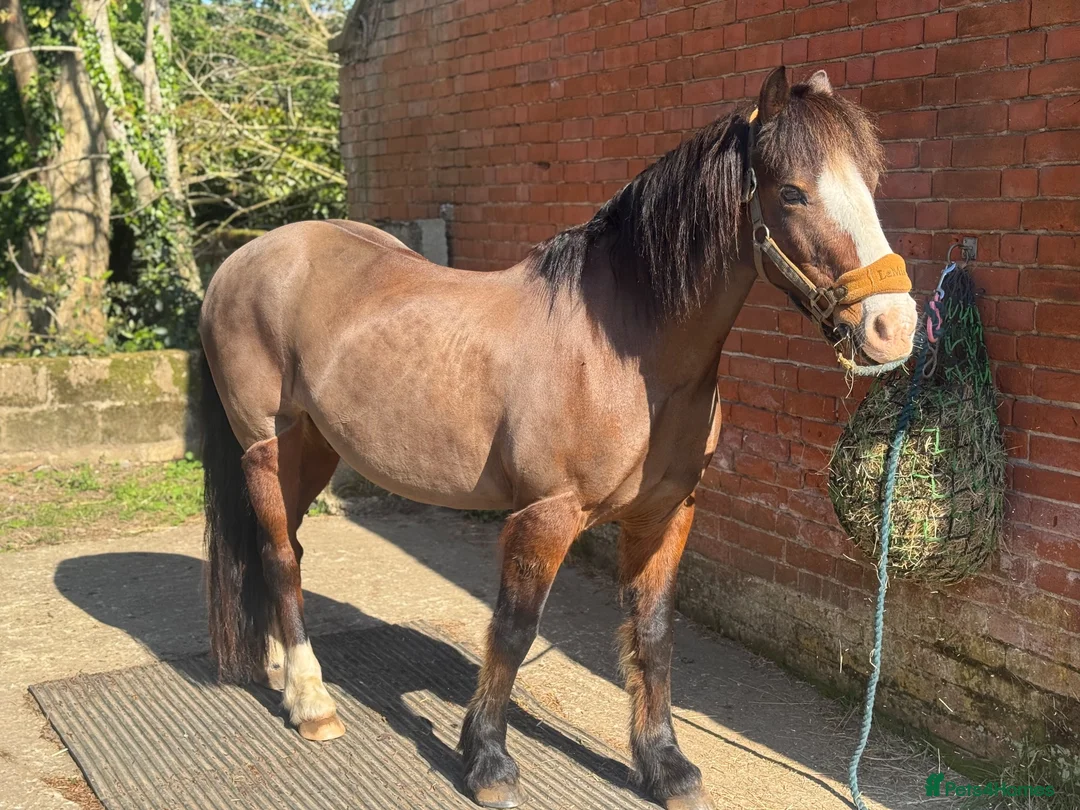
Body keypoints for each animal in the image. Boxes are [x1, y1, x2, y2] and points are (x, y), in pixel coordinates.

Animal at [199, 66, 917, 810]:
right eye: (793, 191)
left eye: (870, 181)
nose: (894, 326)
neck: (625, 351)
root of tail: (243, 260)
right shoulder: (545, 516)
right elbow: (513, 631)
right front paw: (487, 762)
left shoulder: (667, 514)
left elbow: (653, 633)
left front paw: (664, 765)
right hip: (266, 449)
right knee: (280, 558)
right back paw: (311, 702)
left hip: (313, 449)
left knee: (285, 550)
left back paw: (282, 672)